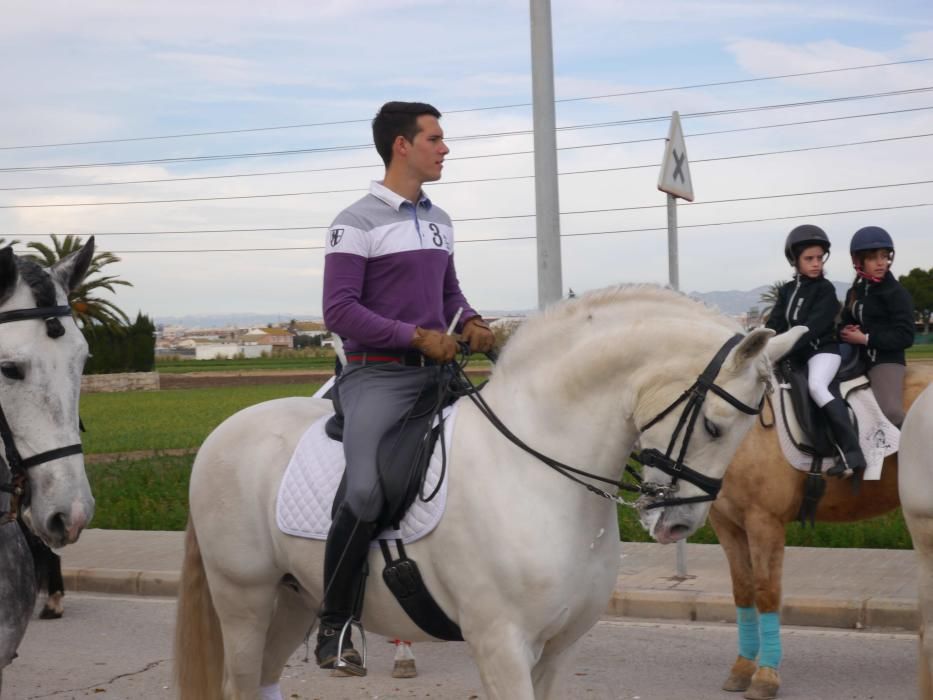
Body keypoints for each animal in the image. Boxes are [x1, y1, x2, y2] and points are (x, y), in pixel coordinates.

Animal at [173, 286, 800, 700]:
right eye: (715, 425)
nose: (676, 526)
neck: (536, 470)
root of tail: (221, 435)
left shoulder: (558, 649)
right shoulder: (501, 644)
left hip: (292, 599)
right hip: (245, 599)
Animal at [708, 364, 928, 696]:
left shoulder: (764, 521)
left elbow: (767, 592)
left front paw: (765, 676)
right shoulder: (727, 523)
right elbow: (743, 591)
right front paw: (742, 669)